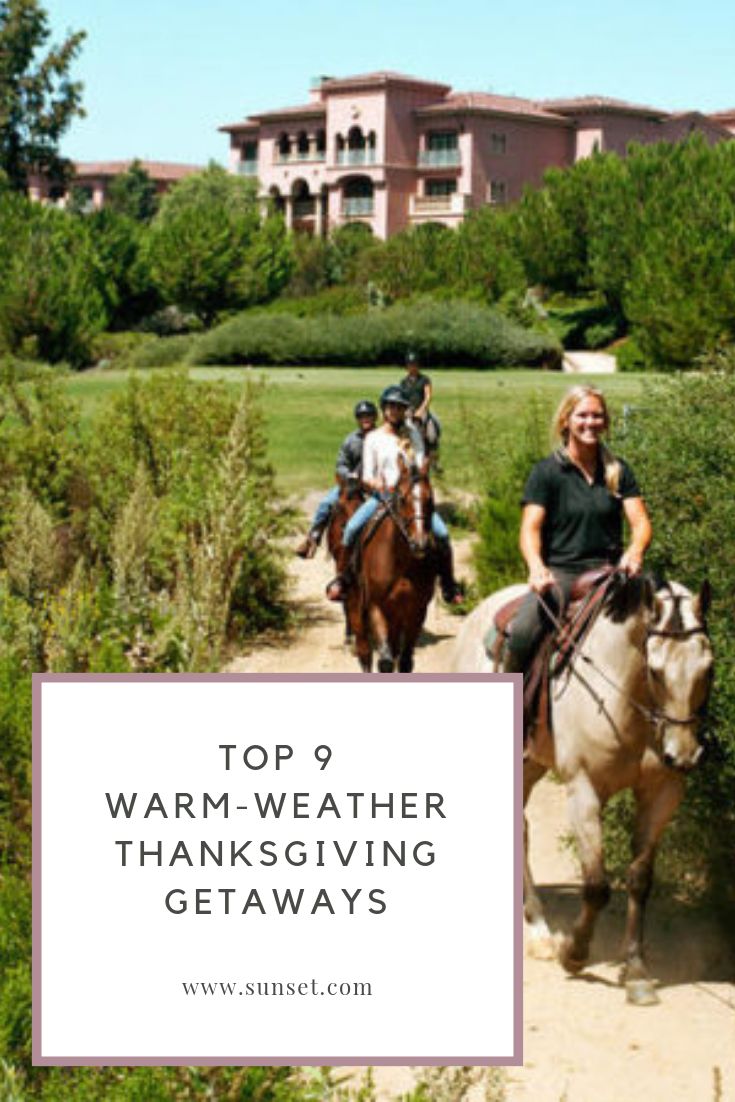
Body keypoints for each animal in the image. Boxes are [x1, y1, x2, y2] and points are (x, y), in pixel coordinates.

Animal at [341, 454, 440, 670]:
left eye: (430, 499)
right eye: (402, 498)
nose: (420, 543)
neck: (400, 563)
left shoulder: (416, 612)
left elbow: (405, 662)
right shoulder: (375, 607)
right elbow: (385, 662)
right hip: (357, 612)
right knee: (364, 652)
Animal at [449, 573, 714, 1005]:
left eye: (707, 669)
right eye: (655, 670)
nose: (684, 754)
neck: (626, 696)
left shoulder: (663, 792)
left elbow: (640, 880)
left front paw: (636, 970)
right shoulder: (583, 791)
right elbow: (596, 886)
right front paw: (573, 953)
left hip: (533, 763)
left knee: (521, 828)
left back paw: (538, 929)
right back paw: (541, 933)